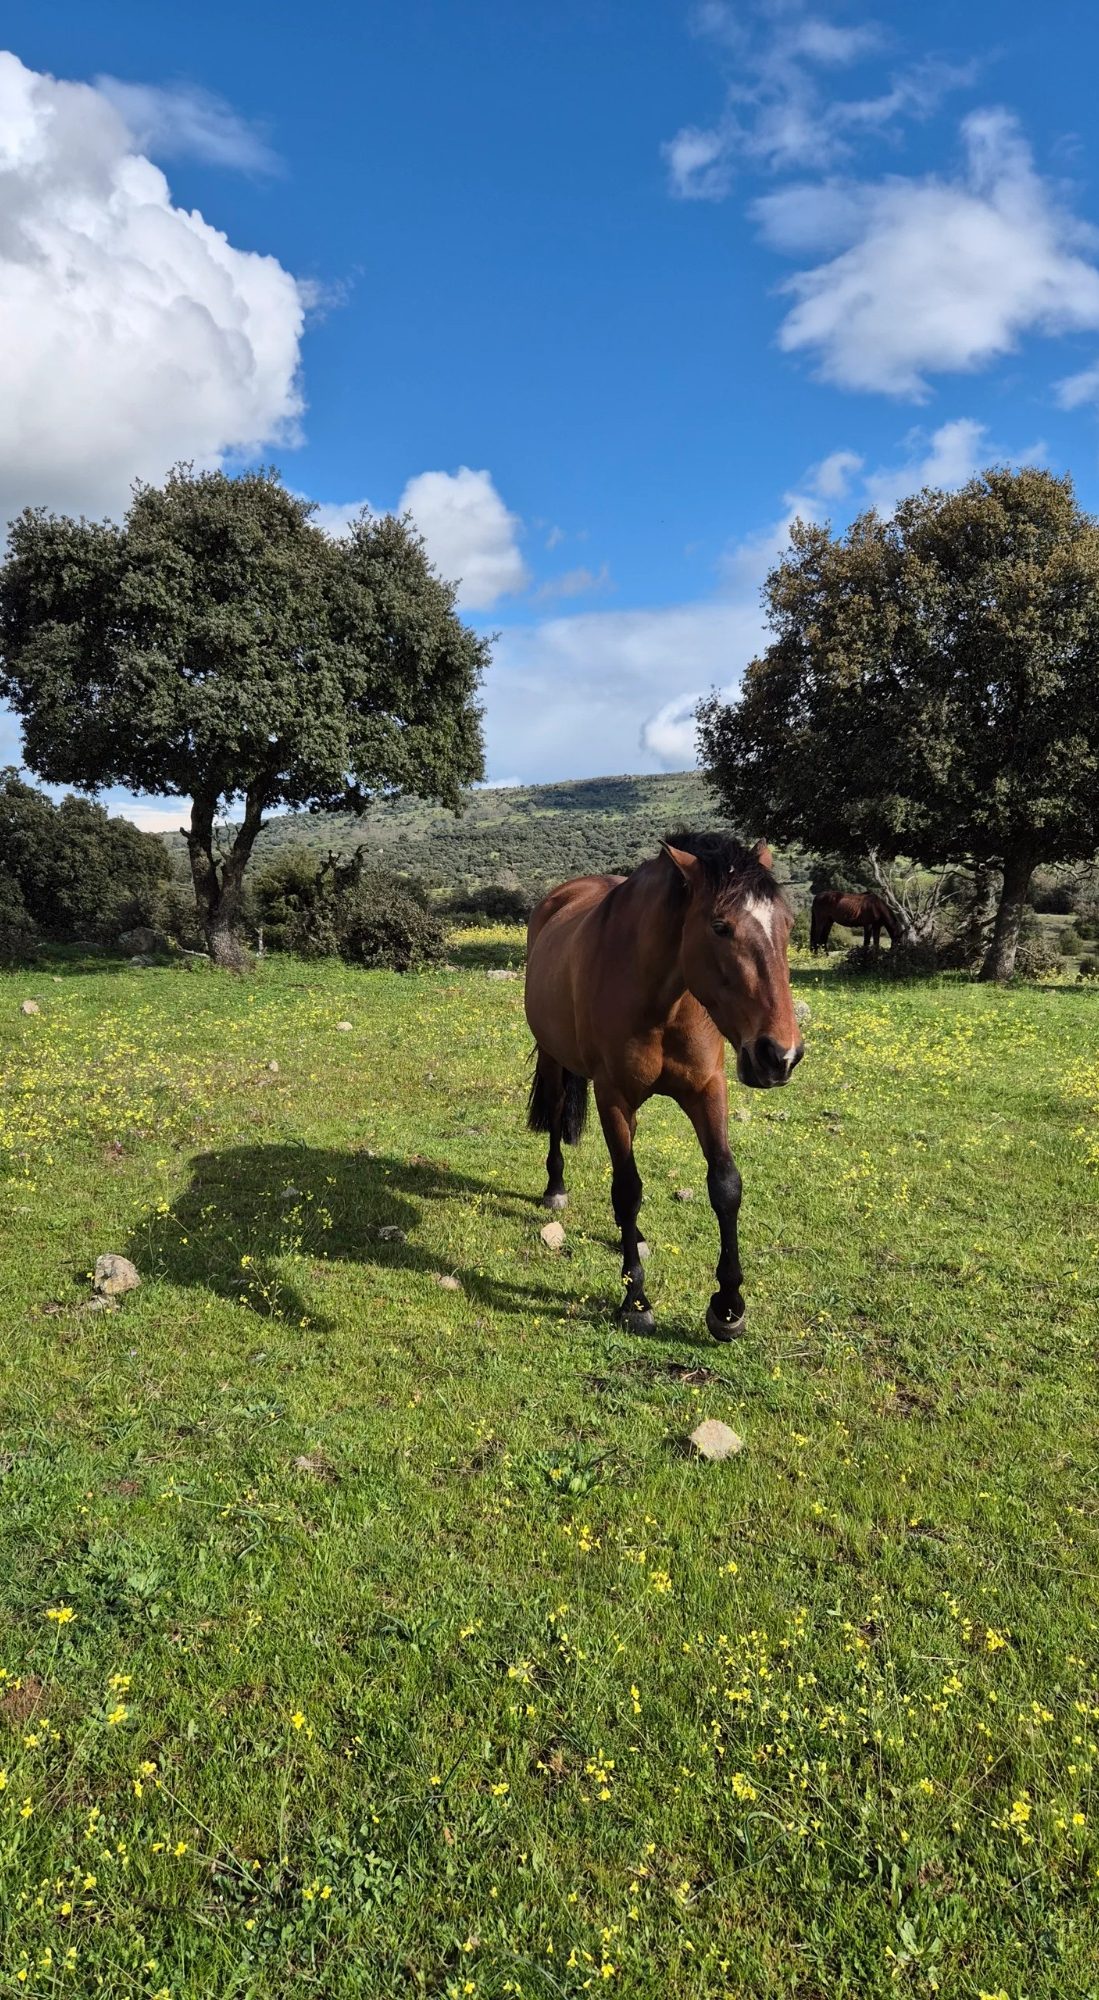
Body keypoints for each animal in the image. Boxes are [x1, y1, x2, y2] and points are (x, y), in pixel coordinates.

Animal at [524, 831, 803, 1343]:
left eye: (789, 925)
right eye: (719, 926)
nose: (781, 1056)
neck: (661, 997)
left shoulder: (708, 1090)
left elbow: (725, 1185)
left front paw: (728, 1307)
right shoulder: (613, 1096)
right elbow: (628, 1188)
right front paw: (635, 1298)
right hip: (555, 1057)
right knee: (555, 1113)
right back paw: (556, 1187)